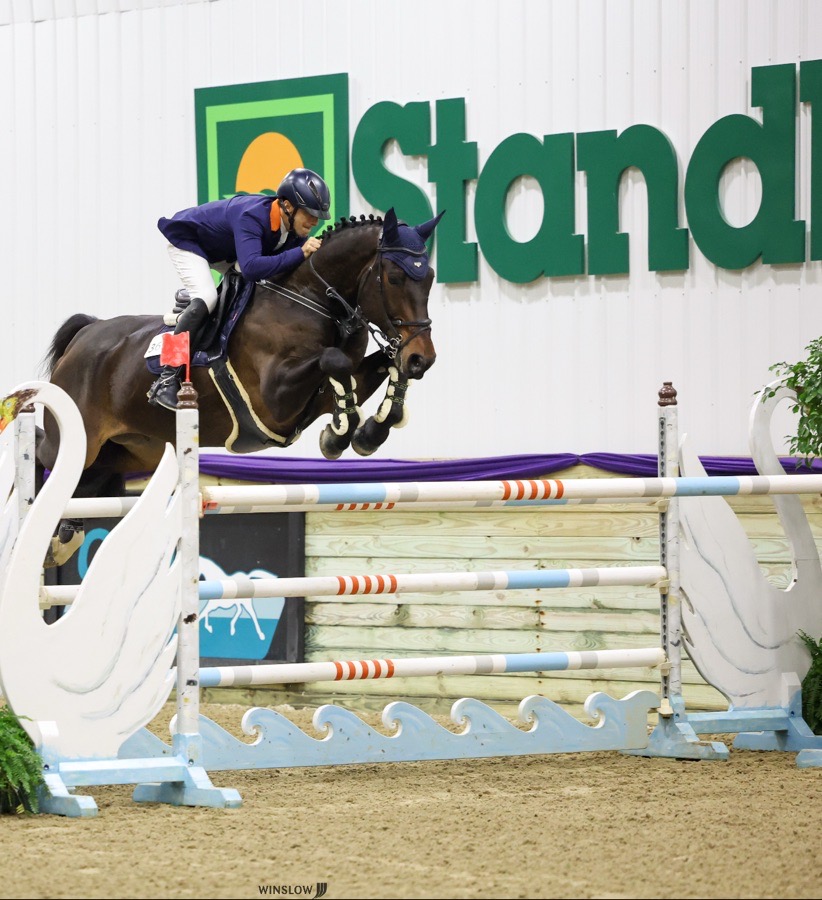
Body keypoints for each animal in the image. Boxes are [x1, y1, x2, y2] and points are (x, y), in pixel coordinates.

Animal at [37, 208, 441, 564]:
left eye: (430, 278)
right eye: (394, 277)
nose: (422, 359)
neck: (314, 299)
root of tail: (86, 334)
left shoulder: (327, 393)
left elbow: (377, 368)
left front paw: (370, 430)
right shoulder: (273, 401)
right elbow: (334, 360)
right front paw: (340, 434)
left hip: (135, 448)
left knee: (86, 482)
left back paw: (65, 538)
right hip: (79, 439)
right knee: (49, 458)